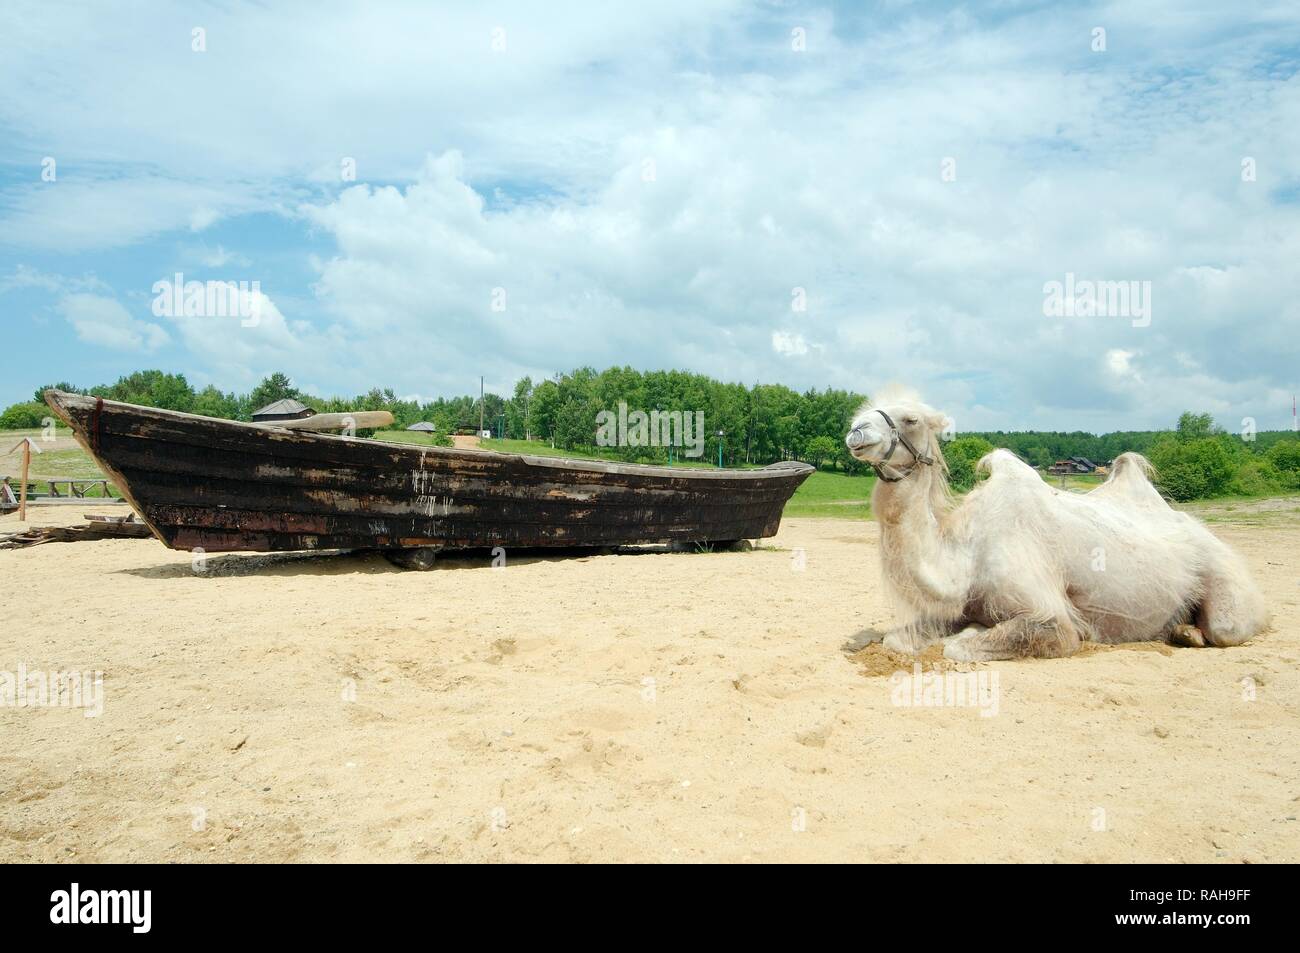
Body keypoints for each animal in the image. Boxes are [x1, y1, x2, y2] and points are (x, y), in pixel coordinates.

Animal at [842, 382, 1268, 657]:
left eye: (911, 419)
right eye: (861, 414)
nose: (856, 432)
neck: (966, 555)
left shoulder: (1050, 617)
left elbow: (959, 647)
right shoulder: (960, 606)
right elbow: (897, 639)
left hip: (1224, 580)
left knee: (1229, 628)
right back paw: (1181, 630)